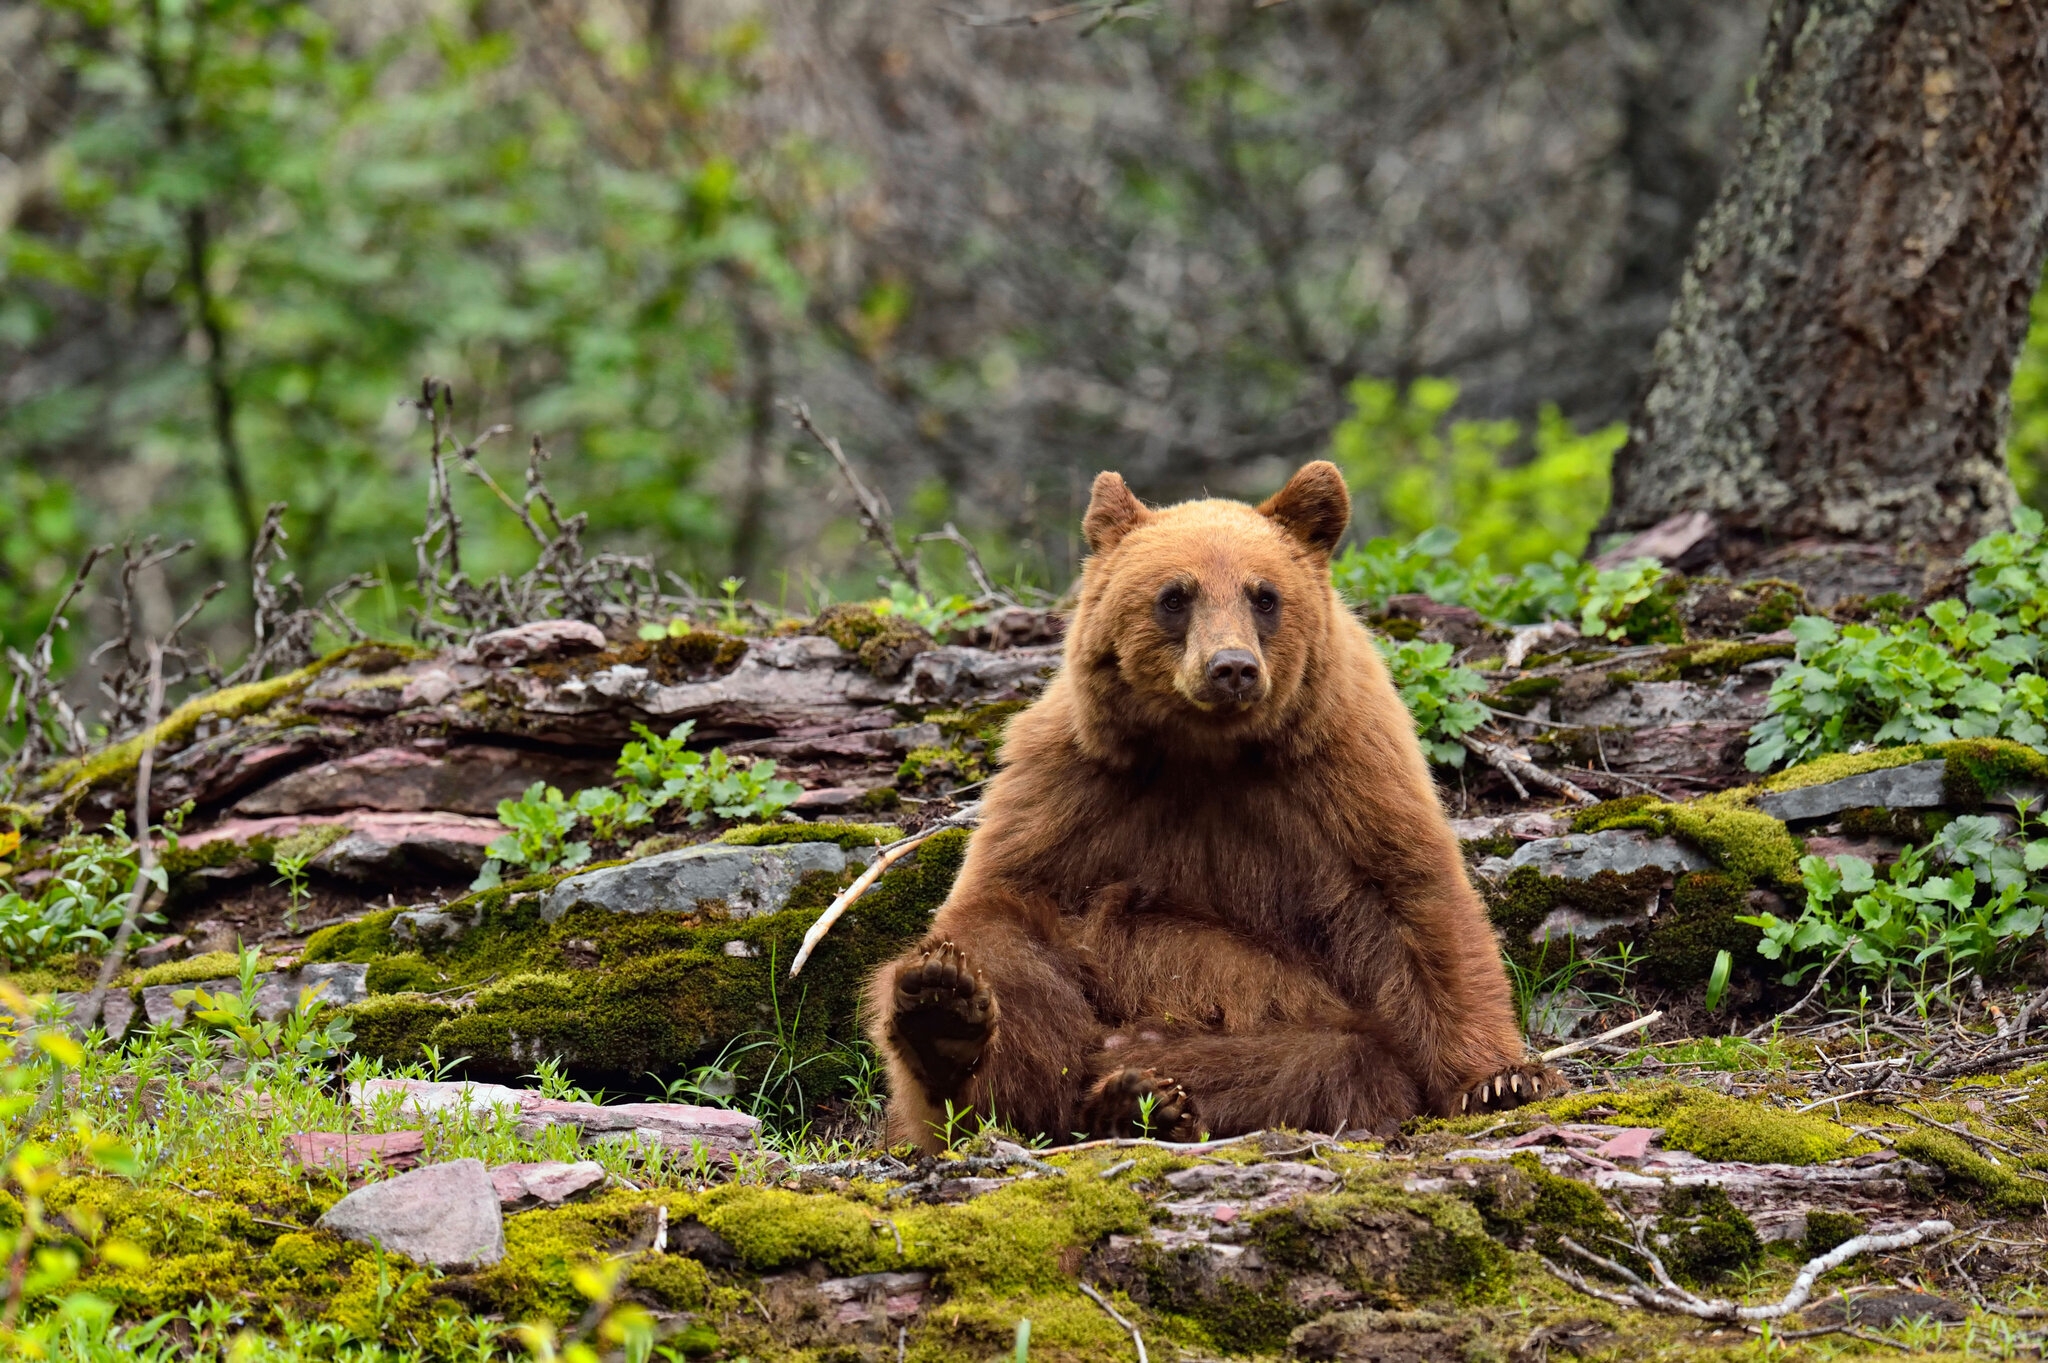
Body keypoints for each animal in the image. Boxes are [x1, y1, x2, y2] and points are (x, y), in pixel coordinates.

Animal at [865, 461, 1554, 1149]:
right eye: (1175, 596)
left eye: (1264, 596)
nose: (1232, 668)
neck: (1207, 753)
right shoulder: (1070, 779)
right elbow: (996, 898)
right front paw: (946, 1006)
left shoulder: (1345, 771)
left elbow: (1415, 901)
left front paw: (1499, 1079)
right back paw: (950, 1024)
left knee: (1323, 1061)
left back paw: (1140, 1100)